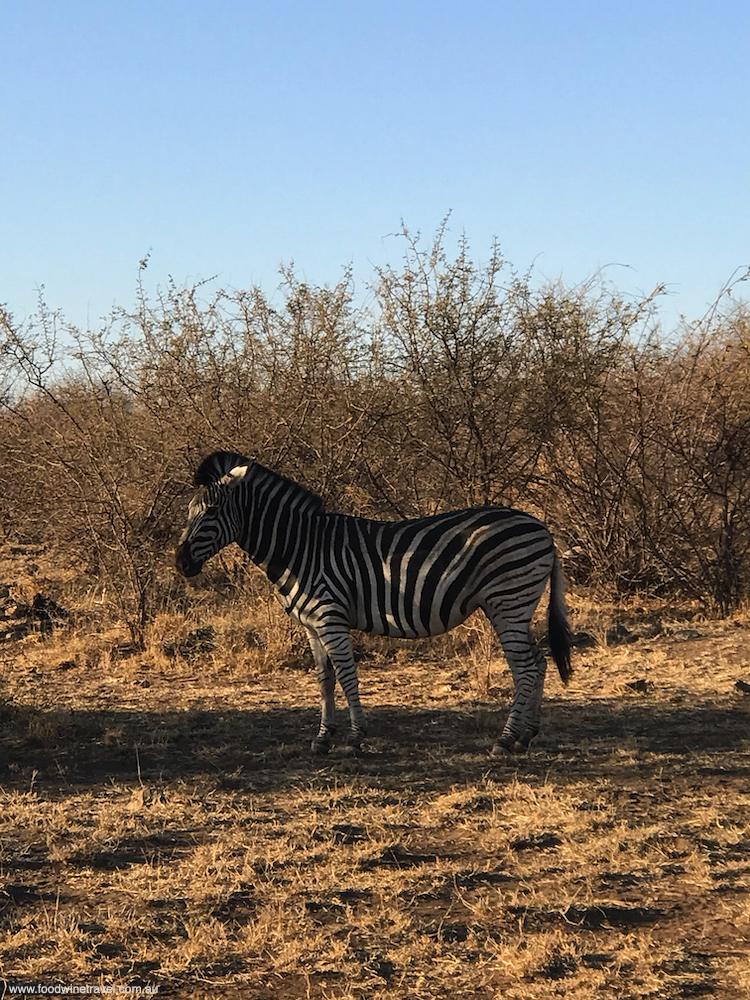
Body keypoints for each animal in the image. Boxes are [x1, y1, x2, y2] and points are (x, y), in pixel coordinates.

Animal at [178, 450, 576, 752]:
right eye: (188, 513)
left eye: (211, 512)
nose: (180, 563)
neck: (299, 548)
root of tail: (542, 527)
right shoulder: (311, 625)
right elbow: (324, 679)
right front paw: (323, 738)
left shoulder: (330, 618)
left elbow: (347, 676)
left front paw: (355, 738)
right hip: (515, 605)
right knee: (539, 662)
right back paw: (526, 735)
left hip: (508, 601)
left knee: (525, 667)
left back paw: (506, 740)